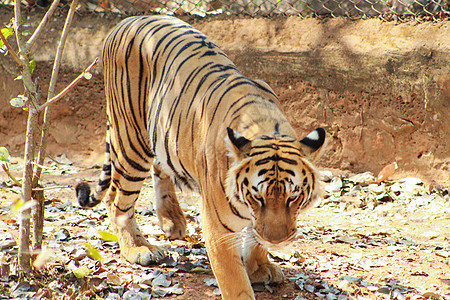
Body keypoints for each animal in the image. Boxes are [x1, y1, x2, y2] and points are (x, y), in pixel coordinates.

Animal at [75, 15, 326, 298]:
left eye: (293, 197)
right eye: (257, 198)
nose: (277, 240)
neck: (265, 127)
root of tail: (126, 21)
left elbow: (255, 237)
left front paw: (259, 266)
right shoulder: (218, 229)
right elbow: (235, 282)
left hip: (162, 133)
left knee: (160, 169)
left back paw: (172, 221)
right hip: (131, 141)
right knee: (117, 199)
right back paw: (139, 248)